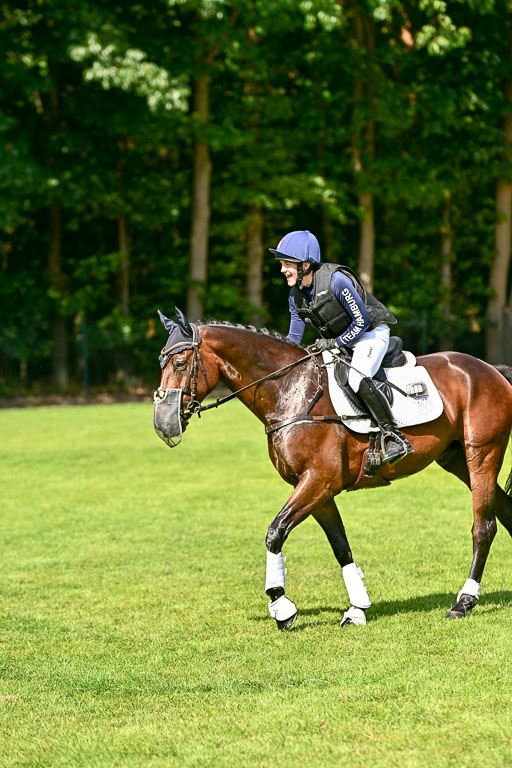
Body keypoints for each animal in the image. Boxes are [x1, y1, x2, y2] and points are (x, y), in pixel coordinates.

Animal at [153, 307, 512, 630]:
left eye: (181, 363)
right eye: (162, 362)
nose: (163, 424)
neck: (290, 392)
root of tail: (490, 369)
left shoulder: (318, 481)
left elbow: (275, 532)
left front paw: (281, 606)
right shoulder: (317, 490)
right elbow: (341, 546)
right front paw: (357, 609)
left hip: (482, 454)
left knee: (483, 526)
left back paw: (463, 602)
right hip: (455, 459)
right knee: (505, 511)